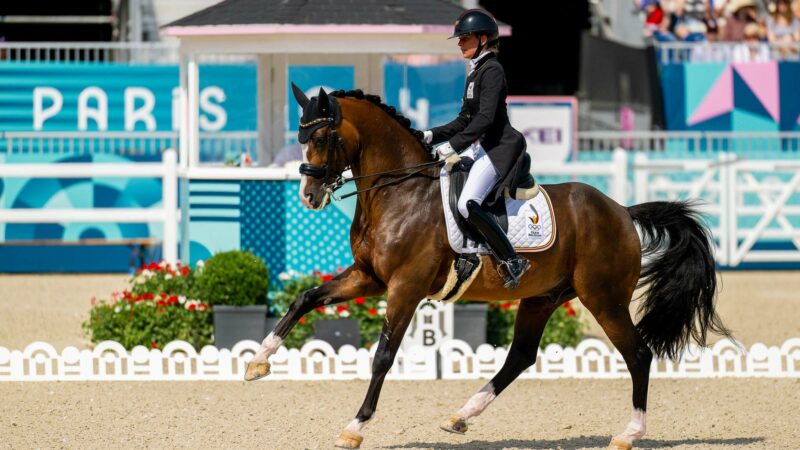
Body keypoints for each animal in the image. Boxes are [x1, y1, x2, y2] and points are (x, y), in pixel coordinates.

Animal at [245, 85, 732, 450]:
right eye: (302, 136)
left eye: (321, 137)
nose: (309, 196)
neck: (397, 191)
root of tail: (622, 211)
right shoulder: (370, 277)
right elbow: (306, 298)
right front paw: (257, 363)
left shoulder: (404, 286)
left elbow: (384, 354)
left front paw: (355, 427)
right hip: (543, 297)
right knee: (521, 356)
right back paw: (461, 416)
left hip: (603, 297)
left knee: (638, 354)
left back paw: (628, 434)